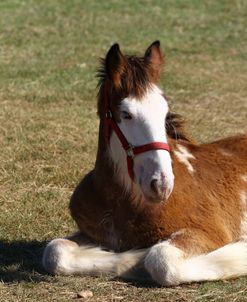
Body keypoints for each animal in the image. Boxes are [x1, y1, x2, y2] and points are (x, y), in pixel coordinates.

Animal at [42, 40, 247, 286]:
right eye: (126, 114)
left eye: (165, 112)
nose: (161, 185)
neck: (121, 200)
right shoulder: (92, 233)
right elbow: (55, 251)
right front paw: (131, 260)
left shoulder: (209, 231)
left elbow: (161, 260)